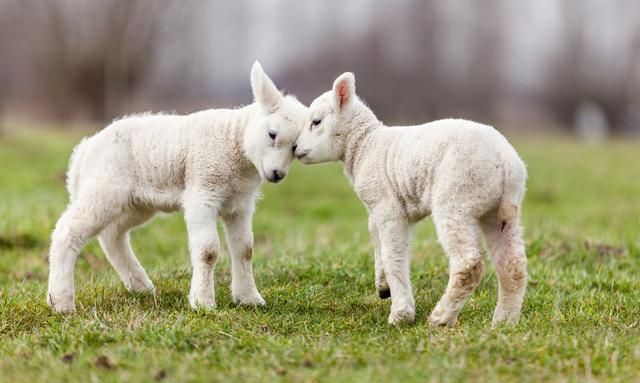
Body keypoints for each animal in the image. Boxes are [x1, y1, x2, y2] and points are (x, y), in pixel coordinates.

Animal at [47, 61, 308, 314]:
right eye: (272, 134)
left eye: (295, 148)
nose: (277, 174)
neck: (234, 141)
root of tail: (84, 151)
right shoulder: (202, 193)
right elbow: (208, 251)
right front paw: (203, 302)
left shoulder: (240, 204)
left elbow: (245, 249)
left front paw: (249, 299)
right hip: (104, 188)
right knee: (68, 230)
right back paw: (61, 301)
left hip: (136, 203)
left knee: (112, 236)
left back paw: (141, 287)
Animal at [292, 72, 528, 328]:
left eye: (316, 122)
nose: (294, 148)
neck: (364, 145)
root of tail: (506, 162)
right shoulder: (378, 208)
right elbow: (376, 239)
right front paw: (383, 286)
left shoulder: (387, 207)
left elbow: (392, 255)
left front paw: (401, 314)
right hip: (498, 213)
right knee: (513, 265)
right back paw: (503, 321)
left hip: (457, 198)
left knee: (469, 264)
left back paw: (441, 318)